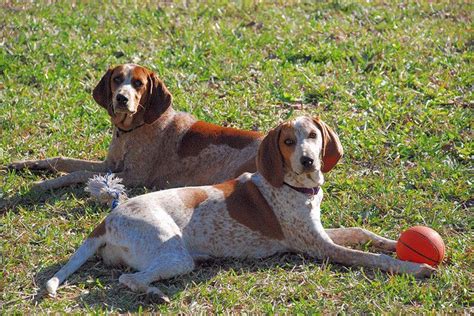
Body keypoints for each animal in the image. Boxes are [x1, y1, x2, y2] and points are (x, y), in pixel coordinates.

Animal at [46, 116, 436, 302]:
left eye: (312, 136)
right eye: (288, 141)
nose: (308, 160)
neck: (295, 187)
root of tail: (107, 218)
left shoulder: (319, 234)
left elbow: (362, 233)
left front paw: (394, 242)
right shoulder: (318, 247)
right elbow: (373, 259)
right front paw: (414, 267)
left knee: (132, 277)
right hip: (176, 255)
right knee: (130, 280)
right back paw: (156, 295)